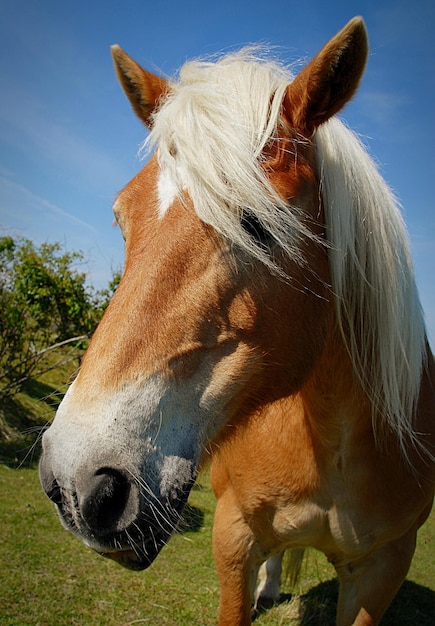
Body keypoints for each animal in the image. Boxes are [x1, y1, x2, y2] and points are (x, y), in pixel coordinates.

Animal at [39, 17, 434, 620]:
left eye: (259, 224)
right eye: (122, 219)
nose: (78, 482)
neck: (332, 438)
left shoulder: (383, 569)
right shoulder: (232, 536)